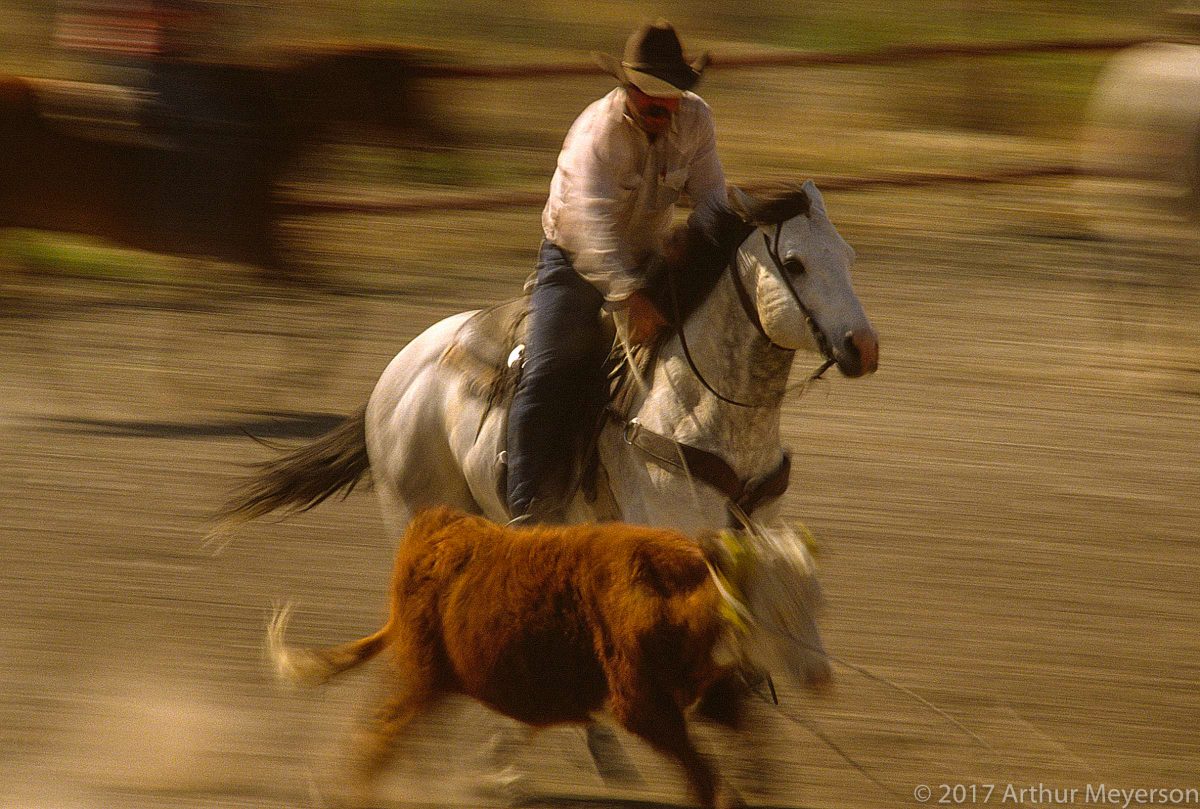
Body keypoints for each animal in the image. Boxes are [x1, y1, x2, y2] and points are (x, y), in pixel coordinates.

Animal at [271, 506, 830, 801]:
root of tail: (437, 527)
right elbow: (705, 778)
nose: (820, 675)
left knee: (386, 731)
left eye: (814, 601)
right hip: (420, 675)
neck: (671, 596)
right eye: (776, 609)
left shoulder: (702, 689)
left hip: (430, 683)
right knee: (381, 735)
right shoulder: (641, 705)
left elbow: (750, 737)